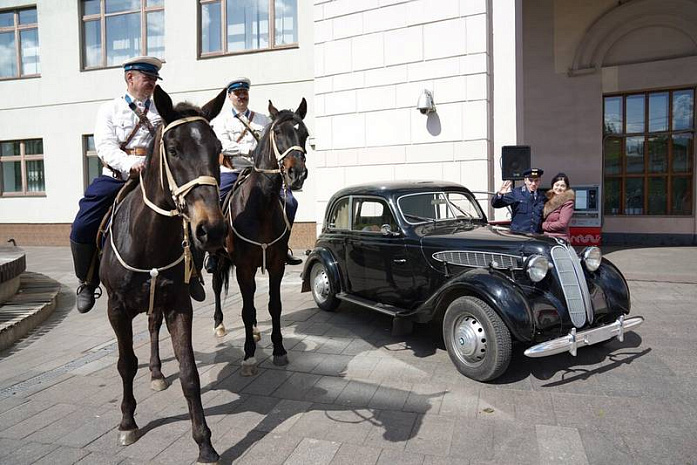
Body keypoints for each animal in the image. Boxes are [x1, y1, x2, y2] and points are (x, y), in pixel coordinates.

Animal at [98, 85, 226, 462]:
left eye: (218, 149)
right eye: (173, 149)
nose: (211, 230)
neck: (146, 239)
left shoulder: (178, 304)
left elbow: (189, 374)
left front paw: (204, 443)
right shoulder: (116, 308)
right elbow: (125, 364)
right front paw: (127, 423)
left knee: (153, 327)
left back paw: (156, 372)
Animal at [209, 99, 308, 376]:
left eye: (305, 134)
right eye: (277, 132)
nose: (297, 174)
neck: (261, 204)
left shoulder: (275, 264)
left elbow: (273, 305)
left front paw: (279, 349)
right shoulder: (243, 266)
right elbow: (245, 308)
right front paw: (249, 356)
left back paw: (254, 331)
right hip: (219, 259)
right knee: (217, 285)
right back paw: (219, 324)